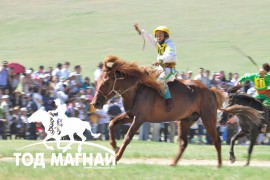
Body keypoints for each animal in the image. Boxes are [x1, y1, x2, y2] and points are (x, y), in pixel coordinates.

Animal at [92, 55, 225, 167]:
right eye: (97, 81)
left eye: (106, 81)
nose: (95, 103)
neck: (137, 89)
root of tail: (210, 90)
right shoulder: (130, 115)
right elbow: (111, 123)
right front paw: (114, 145)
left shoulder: (139, 118)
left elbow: (127, 137)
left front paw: (117, 157)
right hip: (185, 120)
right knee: (183, 143)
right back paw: (173, 163)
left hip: (208, 118)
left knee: (217, 140)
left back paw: (219, 165)